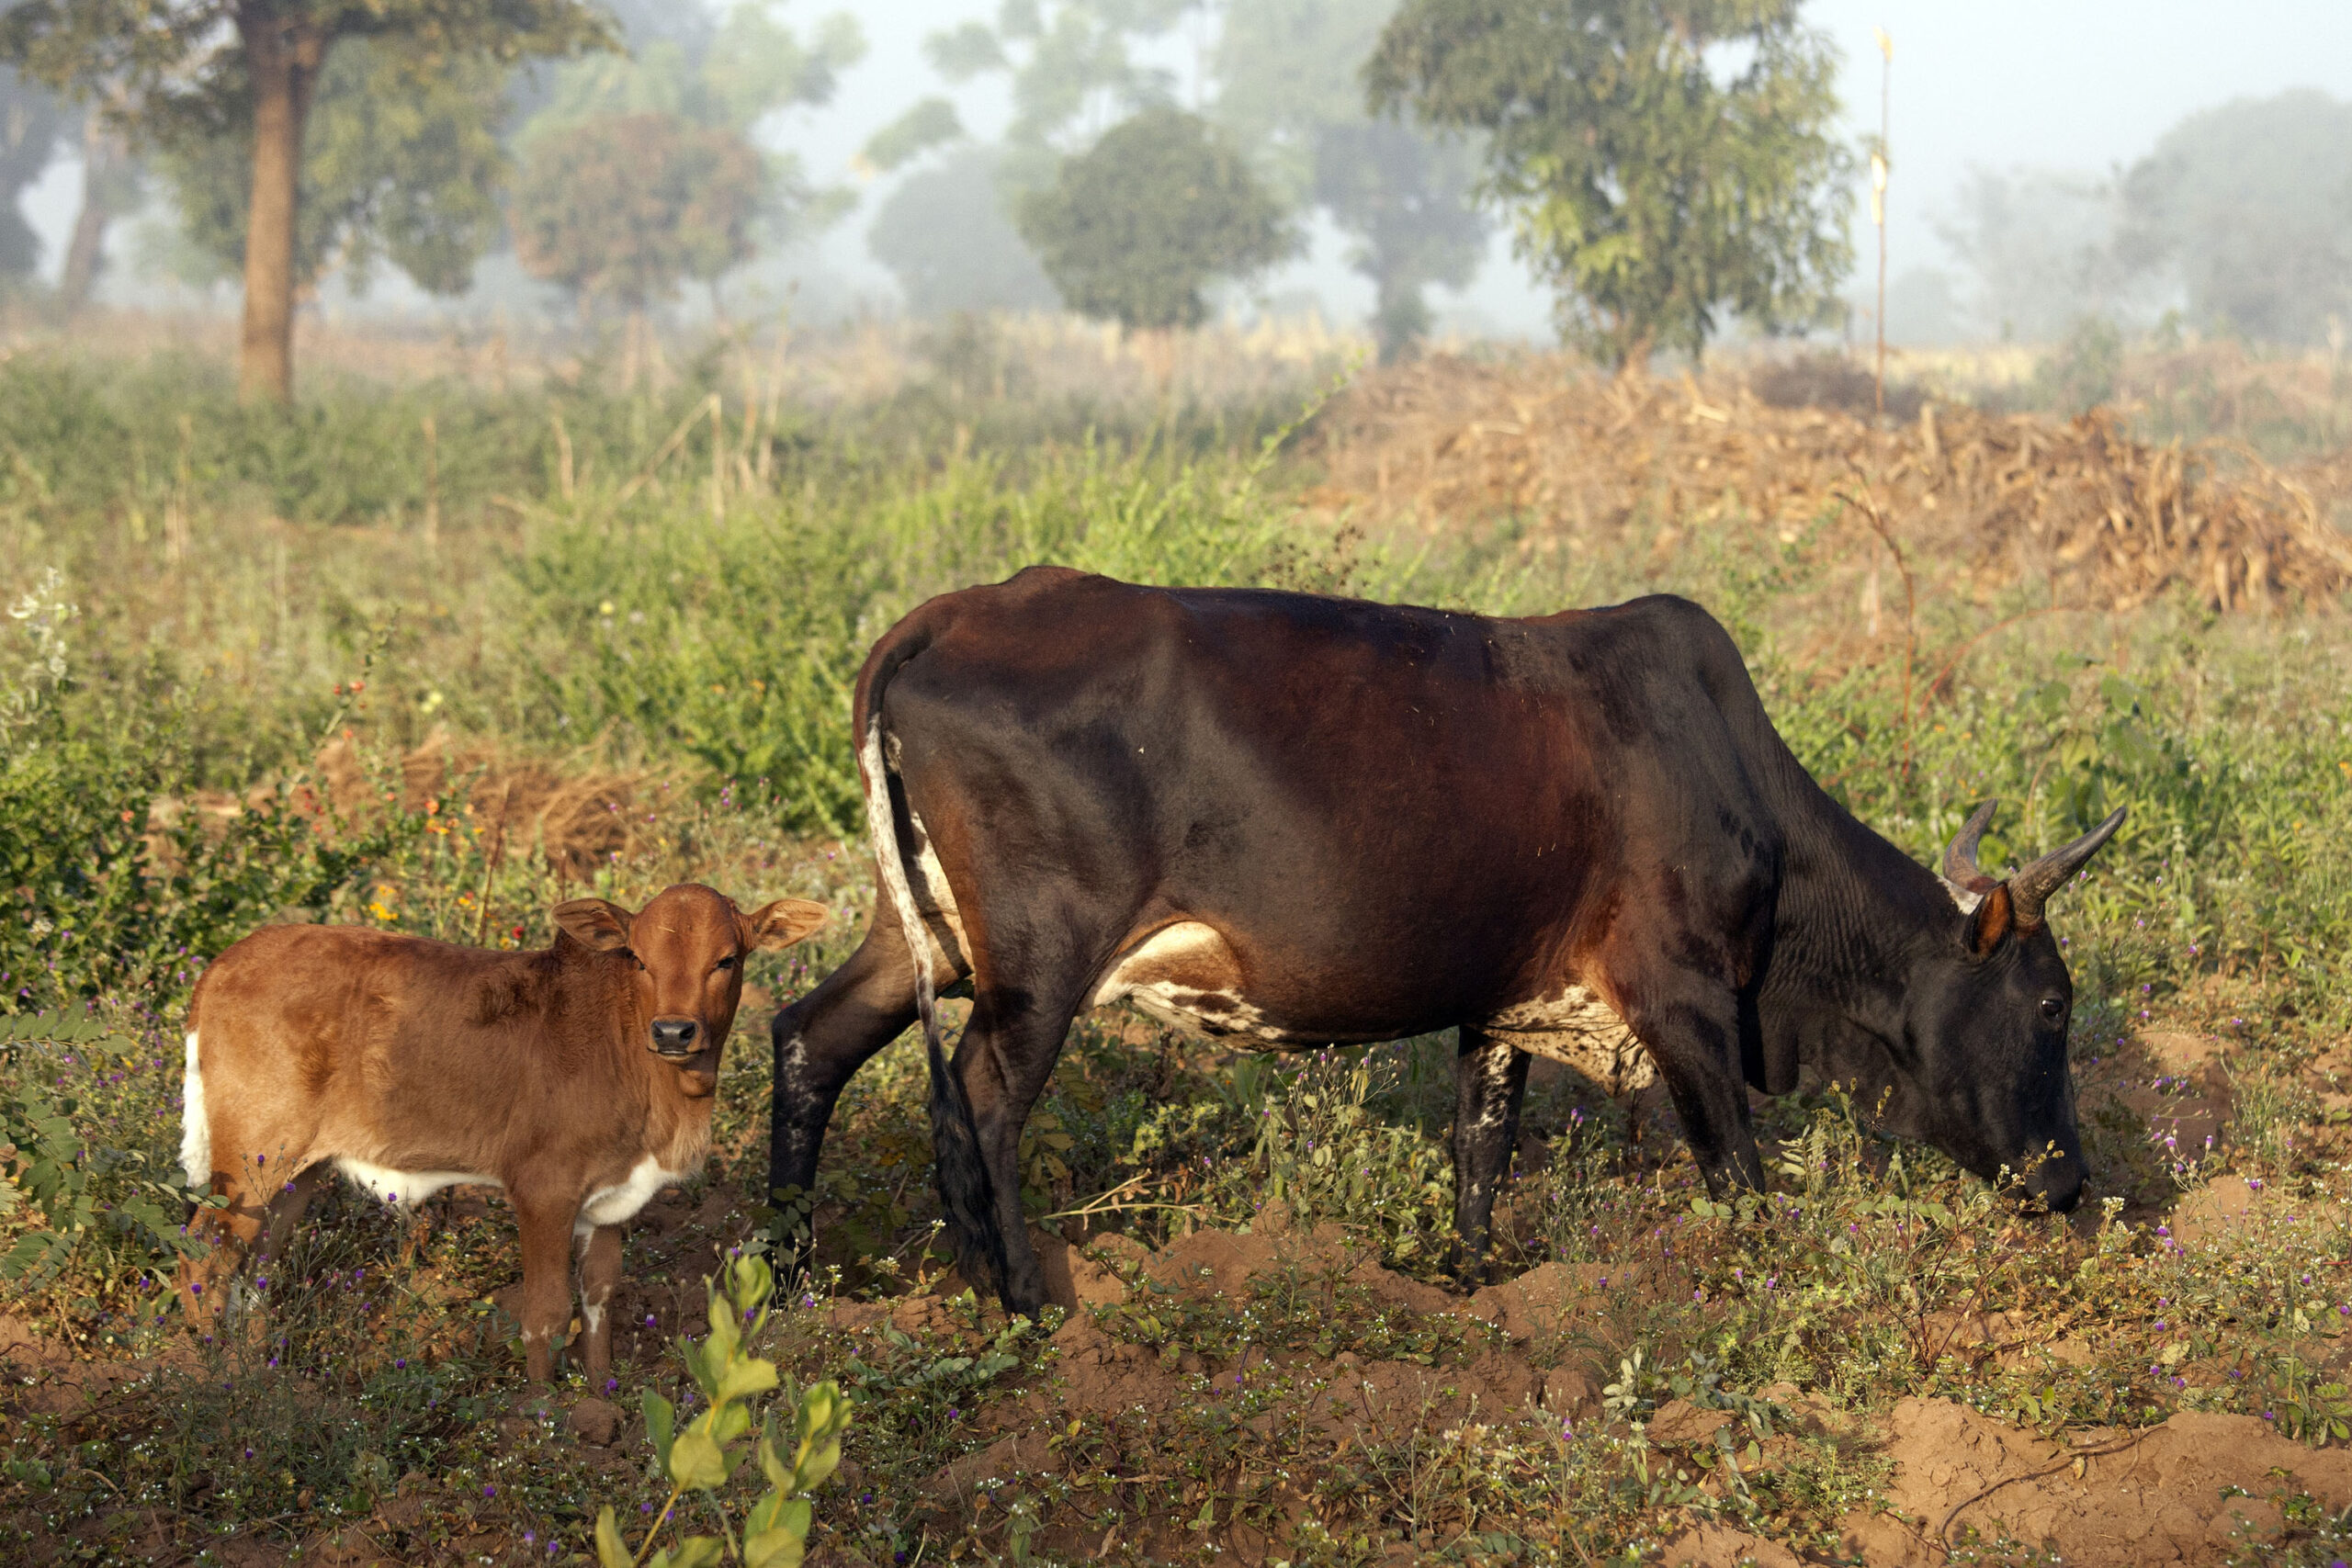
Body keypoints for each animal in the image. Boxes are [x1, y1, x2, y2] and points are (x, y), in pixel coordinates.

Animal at [174, 888, 823, 1382]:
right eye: (639, 959)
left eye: (727, 960)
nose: (672, 1031)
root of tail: (227, 962)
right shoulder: (543, 1189)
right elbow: (546, 1312)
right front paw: (547, 1421)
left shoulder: (613, 1196)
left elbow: (598, 1300)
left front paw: (602, 1398)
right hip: (254, 1156)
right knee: (205, 1254)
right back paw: (210, 1381)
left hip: (296, 1170)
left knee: (258, 1263)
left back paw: (261, 1373)